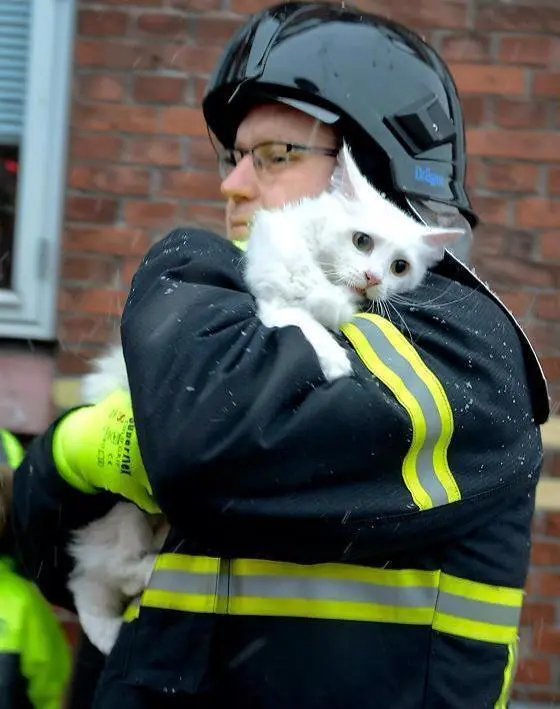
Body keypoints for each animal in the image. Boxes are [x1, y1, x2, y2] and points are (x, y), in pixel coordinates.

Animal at [68, 142, 466, 652]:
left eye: (401, 268)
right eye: (362, 242)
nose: (374, 278)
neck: (326, 276)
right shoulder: (274, 304)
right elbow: (306, 324)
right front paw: (334, 362)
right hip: (122, 518)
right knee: (97, 576)